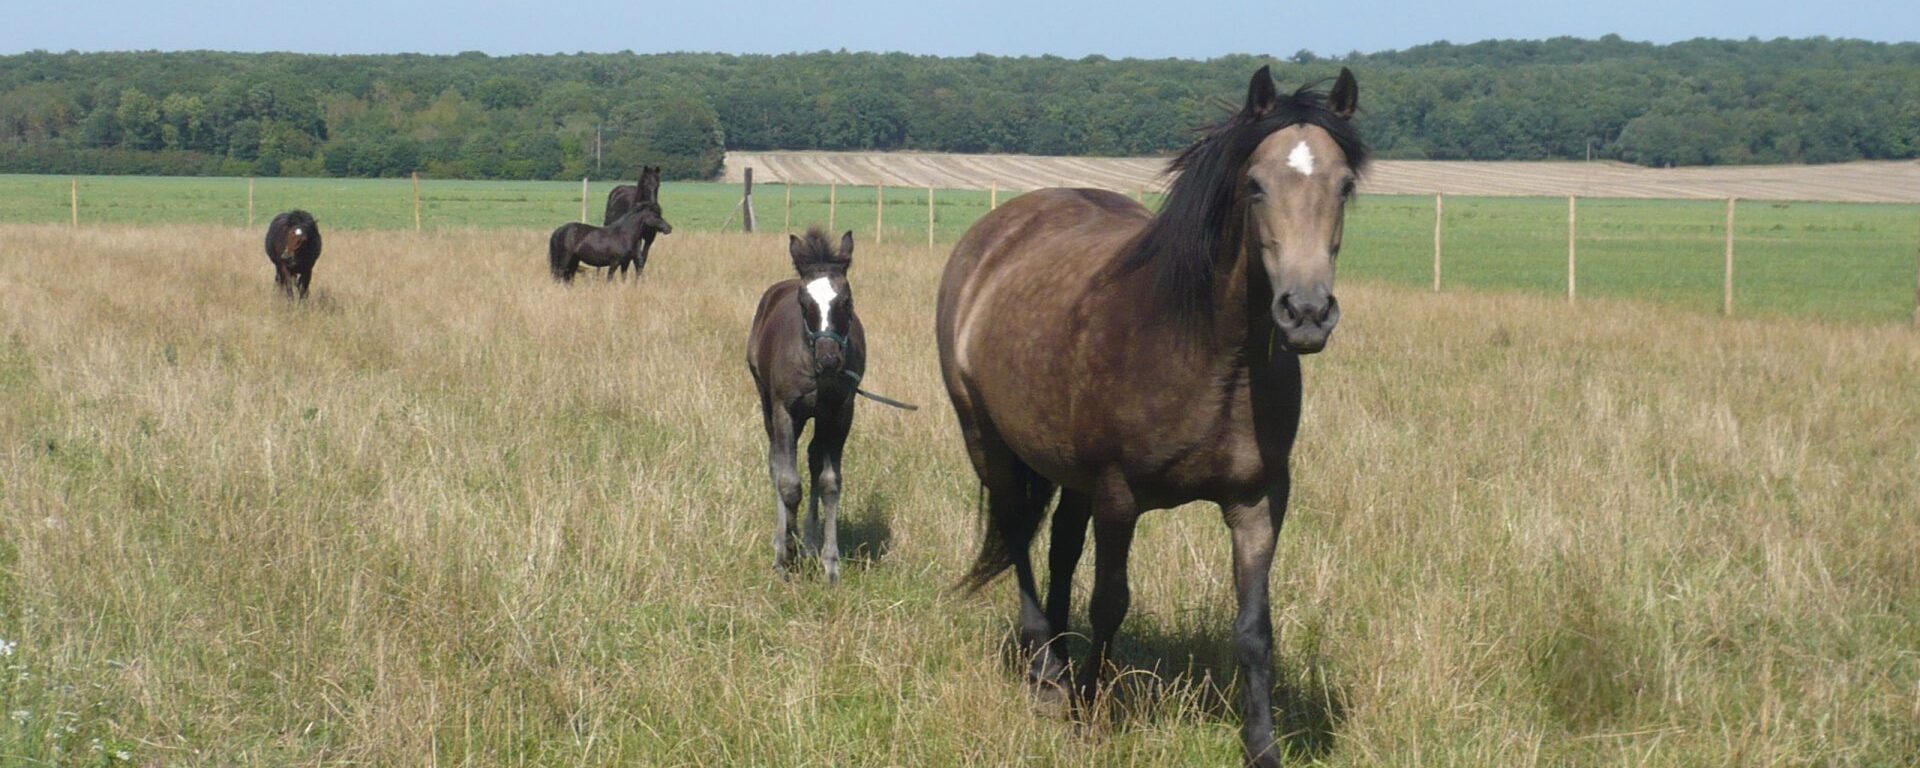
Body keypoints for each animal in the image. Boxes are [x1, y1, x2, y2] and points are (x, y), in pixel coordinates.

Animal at [746, 228, 865, 583]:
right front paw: (785, 555)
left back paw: (810, 542)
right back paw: (784, 540)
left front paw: (830, 563)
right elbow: (788, 482)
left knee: (812, 459)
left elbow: (829, 482)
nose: (829, 359)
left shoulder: (841, 412)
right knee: (776, 462)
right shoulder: (786, 410)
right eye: (804, 302)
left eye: (846, 300)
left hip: (820, 417)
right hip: (768, 404)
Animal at [934, 66, 1364, 767]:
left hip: (1069, 470)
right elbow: (1111, 603)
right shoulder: (1118, 495)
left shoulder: (1260, 500)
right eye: (1254, 185)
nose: (1305, 313)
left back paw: (1058, 655)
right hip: (987, 439)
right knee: (1019, 536)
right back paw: (1045, 670)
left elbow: (1254, 627)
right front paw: (1087, 712)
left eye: (1345, 185)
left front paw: (1262, 745)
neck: (1213, 353)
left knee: (1060, 548)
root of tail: (992, 234)